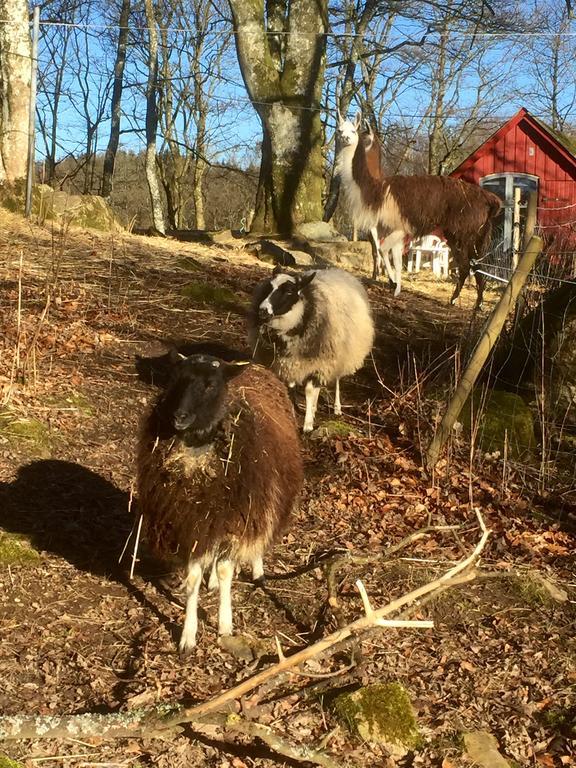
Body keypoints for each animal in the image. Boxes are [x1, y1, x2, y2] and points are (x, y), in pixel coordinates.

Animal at [137, 352, 304, 652]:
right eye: (176, 379)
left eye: (210, 385)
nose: (179, 416)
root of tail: (255, 366)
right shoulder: (191, 523)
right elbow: (193, 578)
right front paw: (188, 636)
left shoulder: (237, 519)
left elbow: (227, 570)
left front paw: (225, 624)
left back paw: (256, 570)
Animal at [249, 268, 376, 428]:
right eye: (269, 286)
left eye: (289, 291)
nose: (262, 311)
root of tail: (338, 271)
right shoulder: (289, 362)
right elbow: (291, 386)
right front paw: (294, 411)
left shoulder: (321, 361)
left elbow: (309, 391)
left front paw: (308, 425)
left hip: (340, 355)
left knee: (337, 380)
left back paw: (337, 408)